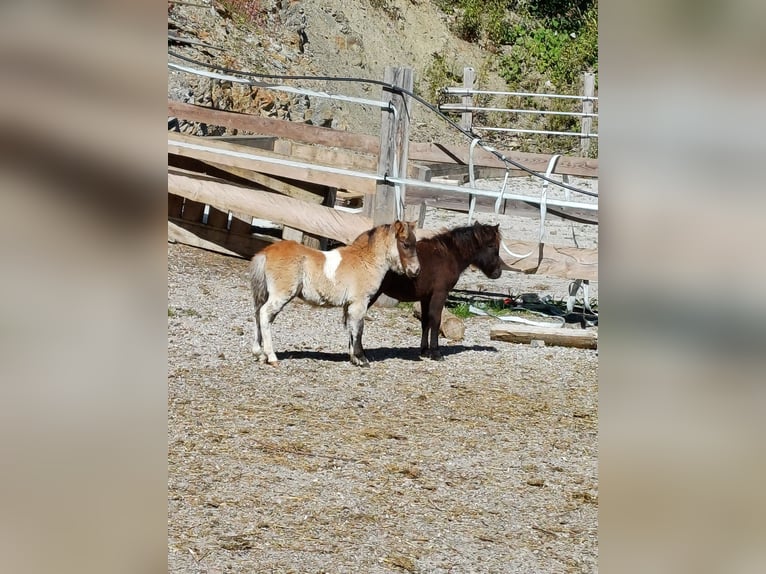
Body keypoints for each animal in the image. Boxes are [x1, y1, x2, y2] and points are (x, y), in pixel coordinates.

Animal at [250, 220, 420, 368]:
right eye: (405, 244)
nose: (416, 270)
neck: (365, 261)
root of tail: (265, 252)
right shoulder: (360, 302)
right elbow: (359, 328)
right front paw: (362, 359)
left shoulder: (349, 305)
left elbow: (351, 328)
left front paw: (354, 359)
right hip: (281, 294)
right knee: (264, 314)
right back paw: (271, 357)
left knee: (258, 313)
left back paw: (259, 354)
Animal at [370, 224, 508, 362]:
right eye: (491, 245)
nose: (498, 272)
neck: (447, 256)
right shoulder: (440, 294)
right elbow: (436, 320)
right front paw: (436, 353)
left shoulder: (426, 297)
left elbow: (425, 321)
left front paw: (425, 351)